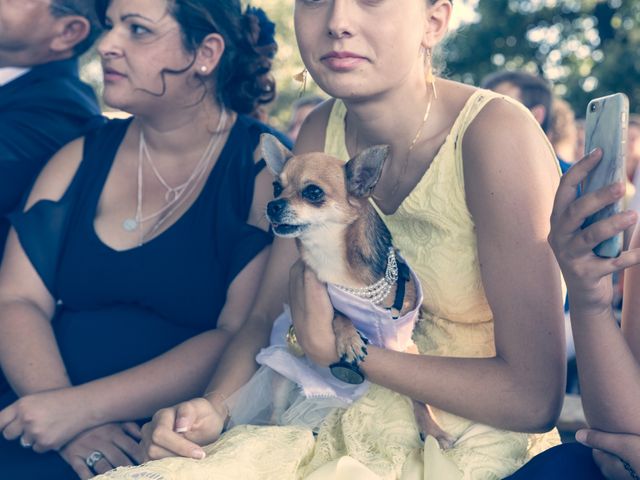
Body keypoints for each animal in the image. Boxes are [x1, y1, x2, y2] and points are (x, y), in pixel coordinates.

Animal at [256, 134, 456, 450]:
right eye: (276, 186)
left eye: (313, 192)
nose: (272, 204)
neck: (331, 257)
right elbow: (339, 313)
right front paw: (349, 336)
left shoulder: (405, 345)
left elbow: (420, 398)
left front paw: (434, 430)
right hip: (281, 375)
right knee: (276, 414)